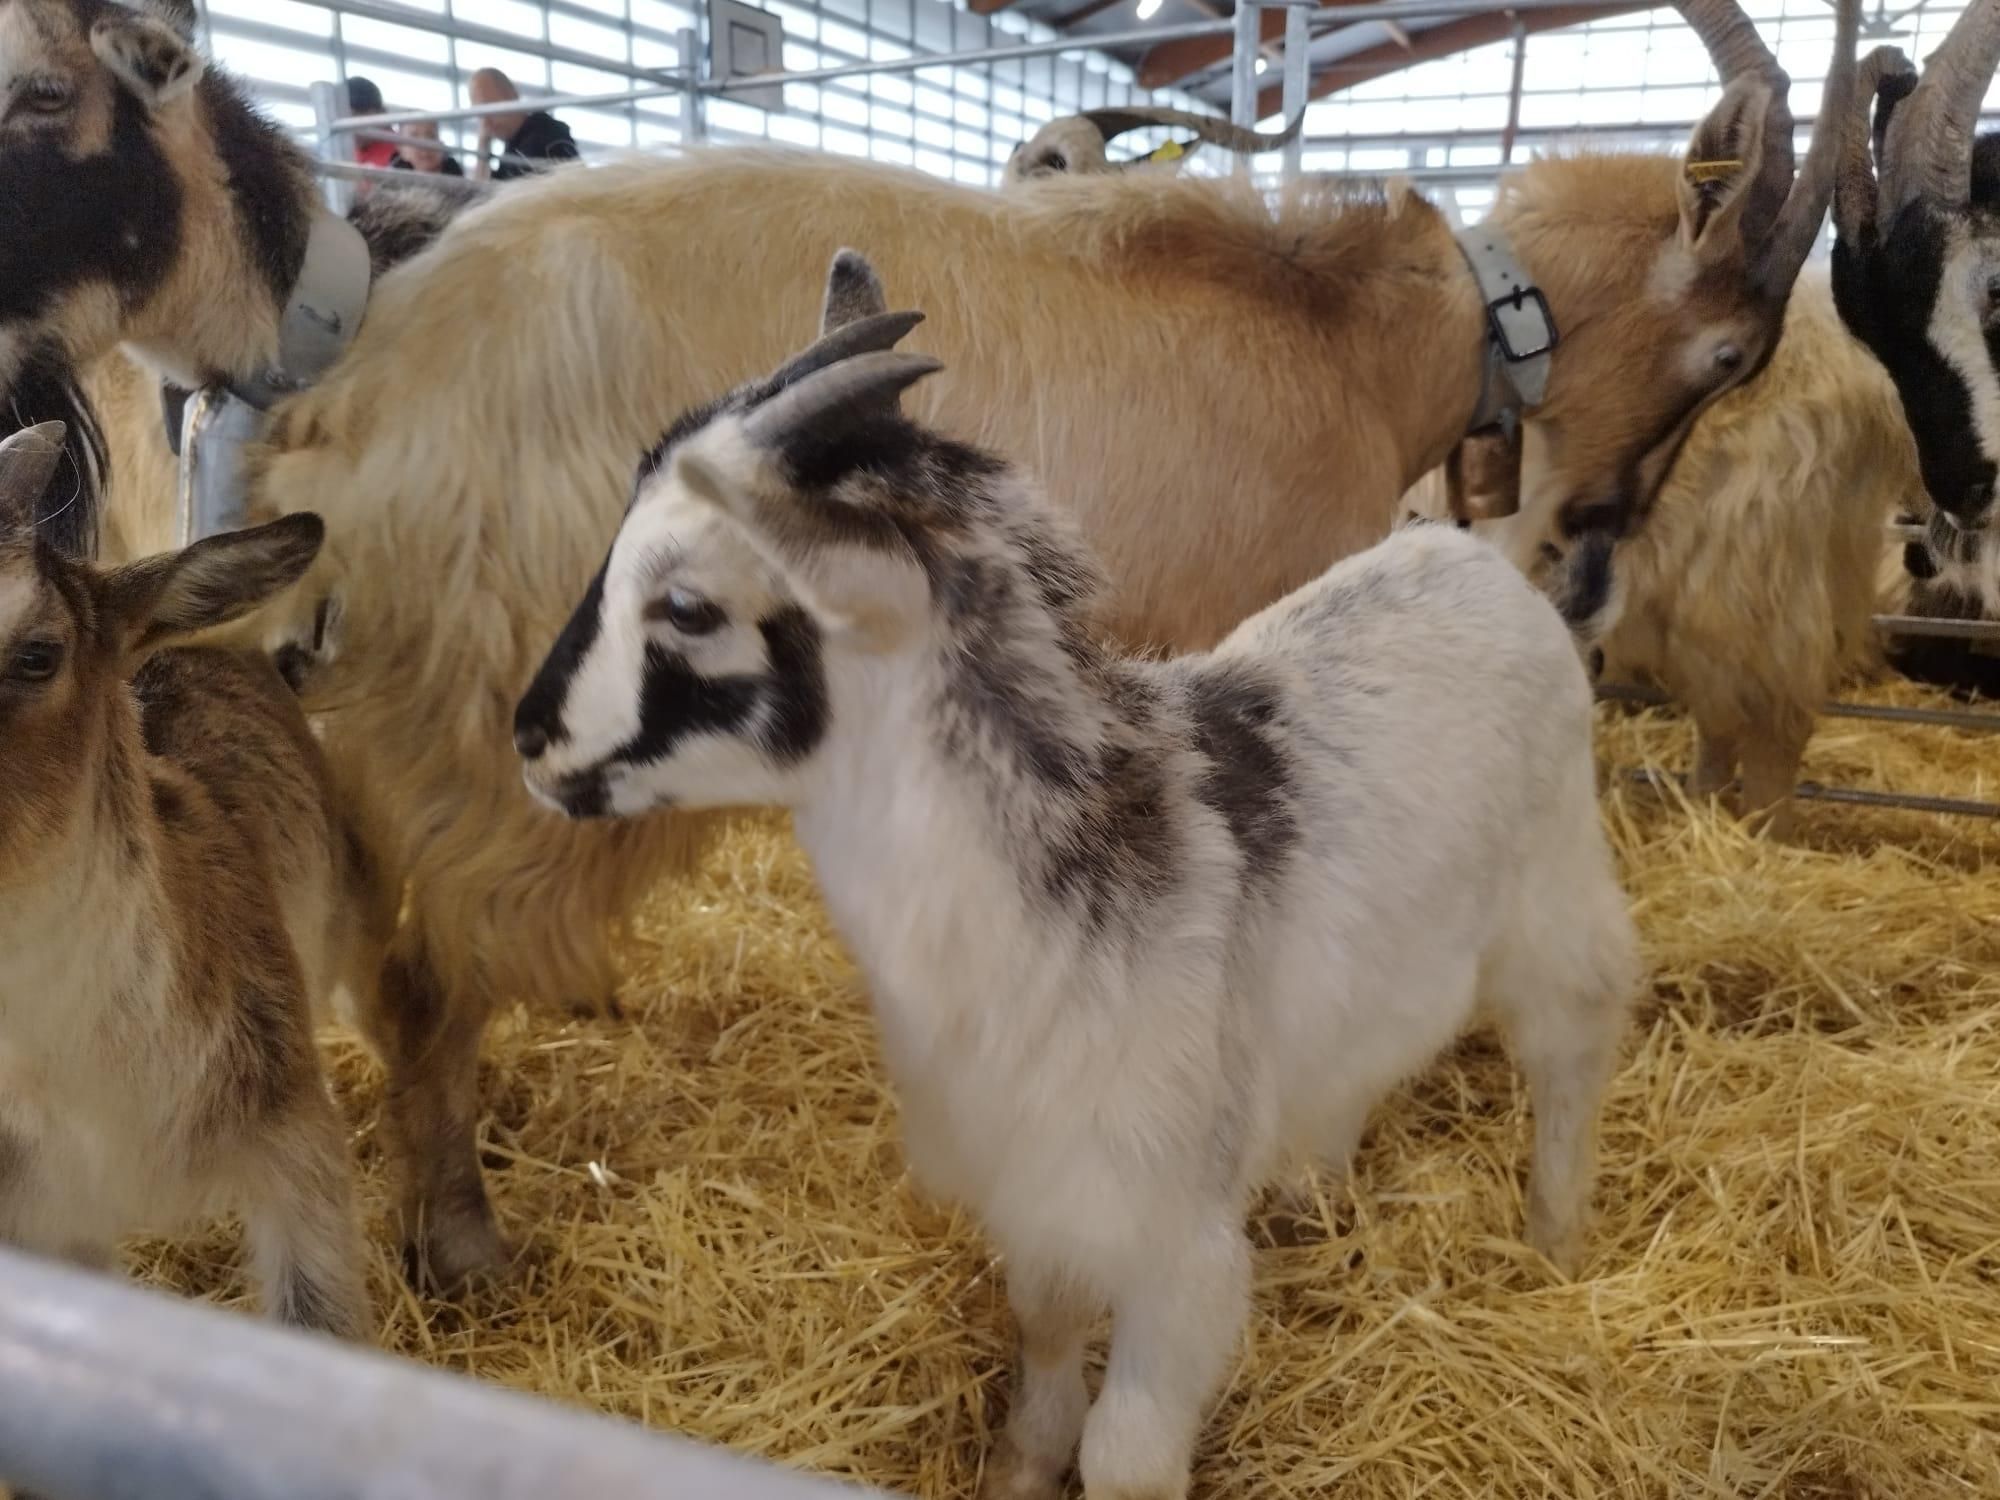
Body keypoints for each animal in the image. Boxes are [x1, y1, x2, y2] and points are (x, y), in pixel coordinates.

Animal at [520, 253, 1640, 1500]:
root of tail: (1491, 567)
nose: (527, 738)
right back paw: (1318, 1184)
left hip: (1553, 886)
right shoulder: (1043, 1190)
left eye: (687, 607)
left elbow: (1127, 1454)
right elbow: (1044, 1332)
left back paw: (1553, 1239)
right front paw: (1017, 1468)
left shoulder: (1176, 1246)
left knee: (1575, 1032)